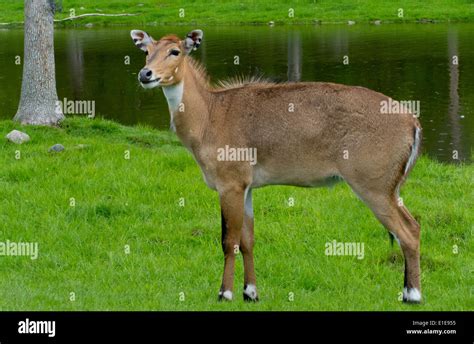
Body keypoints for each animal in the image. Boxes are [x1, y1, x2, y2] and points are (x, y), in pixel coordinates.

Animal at [130, 29, 422, 304]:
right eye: (146, 51)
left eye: (175, 51)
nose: (145, 74)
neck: (209, 117)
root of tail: (414, 123)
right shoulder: (247, 187)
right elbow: (248, 240)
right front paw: (250, 293)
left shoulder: (230, 184)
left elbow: (229, 240)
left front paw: (225, 293)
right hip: (391, 188)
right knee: (414, 225)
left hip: (374, 186)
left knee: (407, 232)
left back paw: (413, 295)